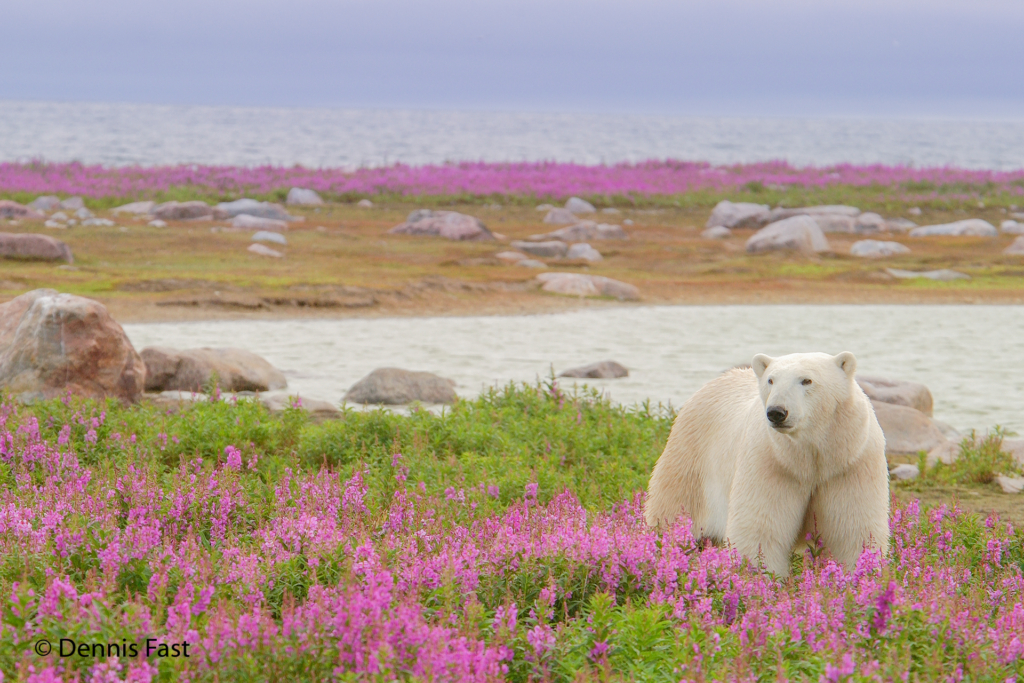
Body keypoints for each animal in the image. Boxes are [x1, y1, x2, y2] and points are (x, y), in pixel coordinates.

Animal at [647, 352, 888, 577]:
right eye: (771, 380)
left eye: (807, 380)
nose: (777, 412)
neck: (809, 456)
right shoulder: (771, 461)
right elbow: (761, 528)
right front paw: (761, 577)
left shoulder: (850, 464)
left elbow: (853, 529)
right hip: (691, 459)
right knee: (673, 509)